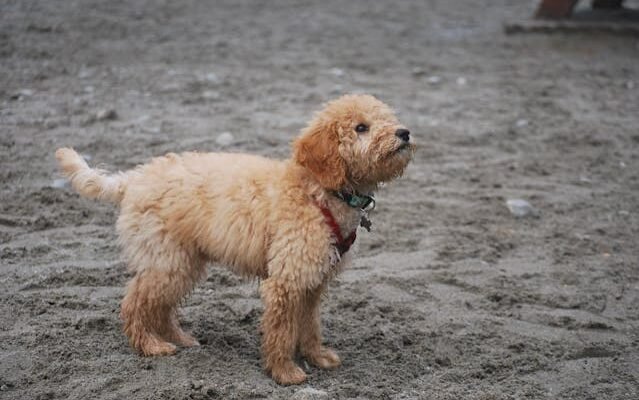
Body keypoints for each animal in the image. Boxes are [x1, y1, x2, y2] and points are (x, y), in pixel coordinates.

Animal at [55, 94, 416, 384]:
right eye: (361, 127)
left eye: (386, 118)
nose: (404, 132)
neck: (318, 190)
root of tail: (134, 179)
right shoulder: (287, 279)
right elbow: (281, 330)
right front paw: (285, 372)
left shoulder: (313, 281)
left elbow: (310, 324)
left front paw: (318, 356)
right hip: (166, 259)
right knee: (134, 303)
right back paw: (150, 345)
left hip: (182, 261)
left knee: (160, 307)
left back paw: (180, 339)